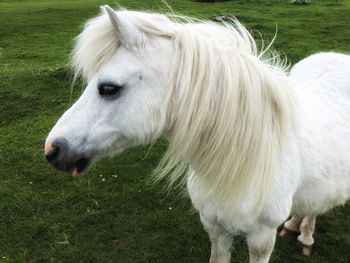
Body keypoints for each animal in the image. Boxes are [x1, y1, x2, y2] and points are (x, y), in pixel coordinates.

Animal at [45, 6, 348, 263]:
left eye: (109, 88)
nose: (52, 149)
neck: (245, 157)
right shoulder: (214, 226)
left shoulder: (261, 239)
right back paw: (295, 225)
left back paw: (305, 236)